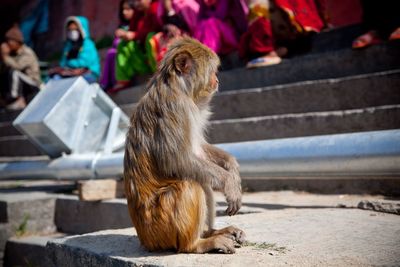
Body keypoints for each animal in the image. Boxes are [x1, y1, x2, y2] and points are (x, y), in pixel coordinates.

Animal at [123, 36, 245, 254]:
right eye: (212, 70)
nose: (217, 80)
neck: (178, 88)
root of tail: (145, 241)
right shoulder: (175, 108)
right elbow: (176, 160)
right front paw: (229, 182)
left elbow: (197, 149)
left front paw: (232, 167)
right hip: (160, 228)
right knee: (190, 183)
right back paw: (198, 243)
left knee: (201, 180)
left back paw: (211, 232)